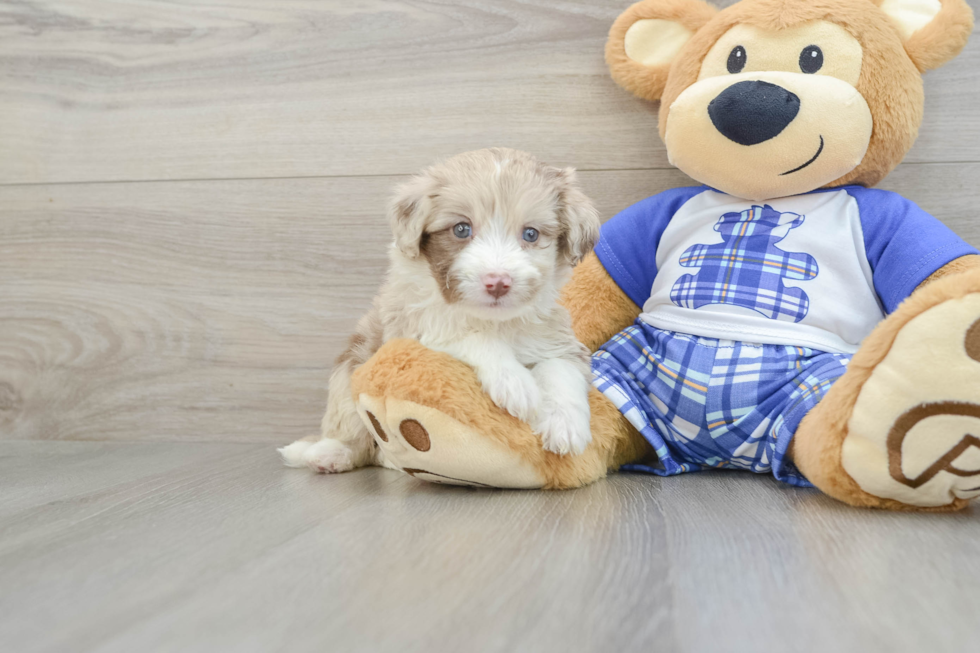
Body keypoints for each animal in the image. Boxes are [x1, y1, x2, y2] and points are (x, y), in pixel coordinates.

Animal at [280, 148, 600, 474]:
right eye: (461, 229)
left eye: (531, 234)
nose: (498, 282)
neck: (494, 321)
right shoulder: (414, 327)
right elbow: (469, 336)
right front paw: (515, 382)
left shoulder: (557, 338)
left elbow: (560, 368)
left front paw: (565, 424)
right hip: (350, 368)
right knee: (353, 429)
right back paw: (329, 452)